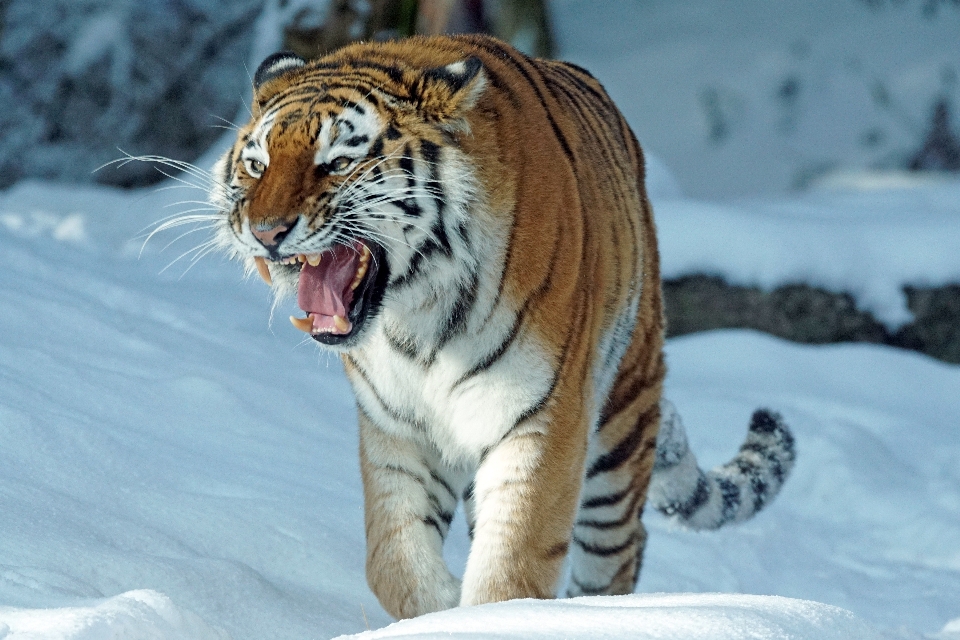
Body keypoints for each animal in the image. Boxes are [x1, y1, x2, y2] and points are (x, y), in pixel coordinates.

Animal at [208, 33, 796, 620]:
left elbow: (513, 565)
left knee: (620, 550)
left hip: (621, 423)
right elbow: (392, 560)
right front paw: (442, 608)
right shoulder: (397, 428)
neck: (415, 316)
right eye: (257, 165)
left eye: (338, 162)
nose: (265, 232)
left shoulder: (541, 418)